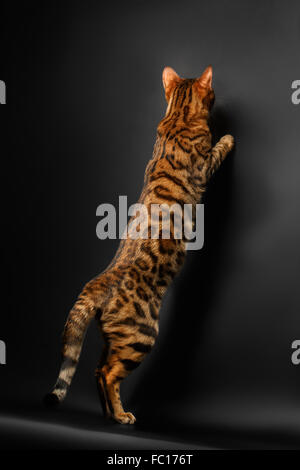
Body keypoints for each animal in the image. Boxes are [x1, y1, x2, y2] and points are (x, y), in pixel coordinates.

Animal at [45, 67, 236, 426]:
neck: (178, 115)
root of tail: (98, 282)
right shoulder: (204, 165)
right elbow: (217, 150)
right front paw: (229, 139)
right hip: (140, 335)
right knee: (108, 374)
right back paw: (121, 416)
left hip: (117, 339)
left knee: (97, 370)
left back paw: (111, 414)